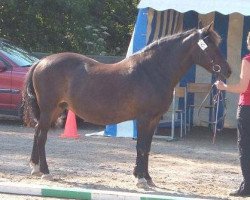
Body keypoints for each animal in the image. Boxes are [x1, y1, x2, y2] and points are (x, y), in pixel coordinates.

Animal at [23, 22, 230, 188]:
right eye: (209, 46)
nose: (228, 71)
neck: (153, 71)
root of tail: (41, 61)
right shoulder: (144, 118)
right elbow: (141, 147)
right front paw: (140, 179)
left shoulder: (154, 120)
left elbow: (147, 148)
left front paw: (147, 177)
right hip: (49, 109)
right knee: (41, 136)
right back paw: (46, 172)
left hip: (54, 109)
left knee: (36, 133)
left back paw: (35, 167)